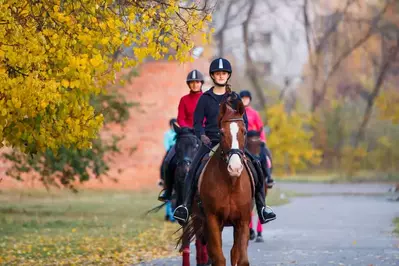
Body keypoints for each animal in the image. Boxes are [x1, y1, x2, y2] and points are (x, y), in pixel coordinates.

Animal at [184, 97, 255, 266]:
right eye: (222, 133)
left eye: (244, 131)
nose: (235, 167)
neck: (231, 183)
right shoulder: (212, 220)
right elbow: (218, 258)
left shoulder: (243, 221)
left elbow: (241, 258)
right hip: (200, 221)